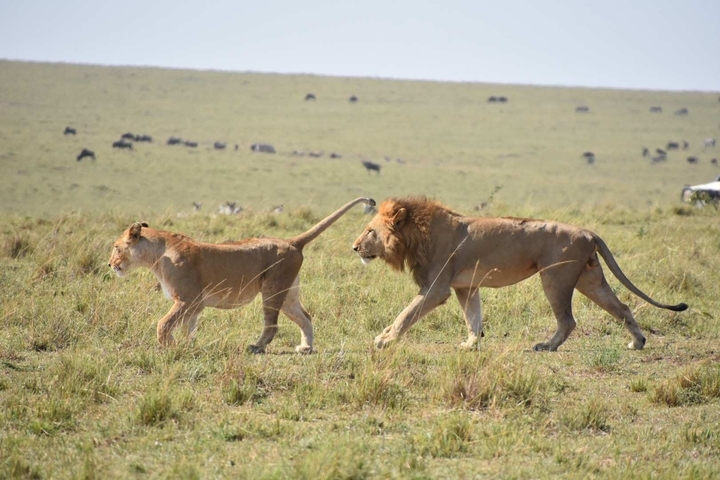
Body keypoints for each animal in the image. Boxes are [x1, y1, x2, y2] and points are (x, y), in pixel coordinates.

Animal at [109, 197, 375, 353]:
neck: (157, 253)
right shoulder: (194, 304)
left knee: (272, 325)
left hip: (272, 289)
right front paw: (186, 345)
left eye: (116, 246)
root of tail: (291, 241)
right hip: (288, 293)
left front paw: (168, 346)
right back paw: (305, 348)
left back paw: (257, 347)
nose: (110, 264)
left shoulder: (187, 299)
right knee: (305, 317)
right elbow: (188, 327)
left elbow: (164, 323)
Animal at [352, 197, 688, 351]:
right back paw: (638, 342)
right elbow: (473, 317)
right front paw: (471, 345)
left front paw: (384, 339)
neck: (417, 235)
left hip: (555, 278)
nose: (354, 247)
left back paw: (547, 346)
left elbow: (406, 313)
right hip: (590, 280)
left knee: (568, 320)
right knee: (622, 307)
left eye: (370, 231)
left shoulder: (436, 288)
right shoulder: (465, 287)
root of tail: (587, 231)